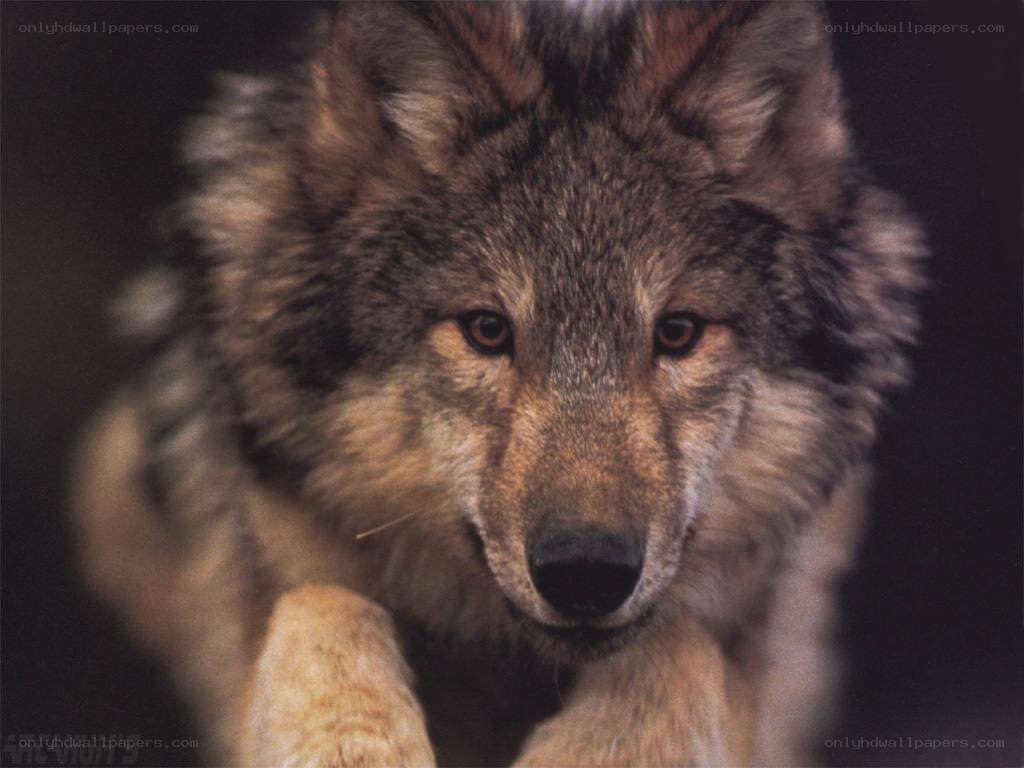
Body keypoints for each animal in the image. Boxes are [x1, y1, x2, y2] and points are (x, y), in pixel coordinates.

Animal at [72, 2, 925, 765]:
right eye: (486, 330)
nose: (586, 572)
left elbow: (676, 645)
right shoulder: (271, 585)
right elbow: (323, 604)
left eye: (678, 333)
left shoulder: (742, 644)